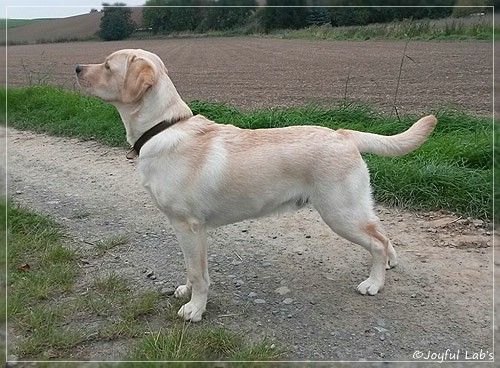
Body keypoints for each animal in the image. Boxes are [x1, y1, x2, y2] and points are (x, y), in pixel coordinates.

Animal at [75, 49, 438, 322]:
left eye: (107, 65)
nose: (76, 67)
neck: (162, 127)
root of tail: (343, 134)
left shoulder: (188, 226)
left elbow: (198, 273)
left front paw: (195, 309)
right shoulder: (185, 230)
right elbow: (190, 270)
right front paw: (186, 293)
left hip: (340, 213)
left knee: (376, 242)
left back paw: (374, 283)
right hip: (354, 206)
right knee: (383, 234)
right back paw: (389, 264)